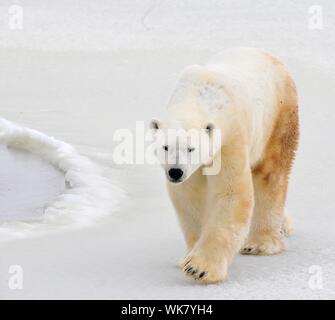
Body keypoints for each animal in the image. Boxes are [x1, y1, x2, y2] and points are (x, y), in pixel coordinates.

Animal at [150, 47, 300, 282]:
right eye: (165, 147)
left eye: (191, 148)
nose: (175, 172)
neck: (199, 94)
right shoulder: (192, 171)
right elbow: (190, 198)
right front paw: (187, 258)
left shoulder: (230, 136)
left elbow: (230, 194)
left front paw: (199, 267)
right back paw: (285, 225)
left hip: (277, 117)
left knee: (269, 174)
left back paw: (260, 243)